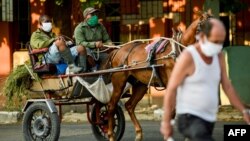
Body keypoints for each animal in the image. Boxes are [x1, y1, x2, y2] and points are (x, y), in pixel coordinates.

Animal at [104, 12, 213, 141]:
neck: (179, 51)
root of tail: (117, 50)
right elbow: (172, 111)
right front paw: (168, 136)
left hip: (140, 85)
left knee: (129, 105)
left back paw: (138, 133)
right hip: (119, 82)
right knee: (111, 106)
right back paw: (111, 135)